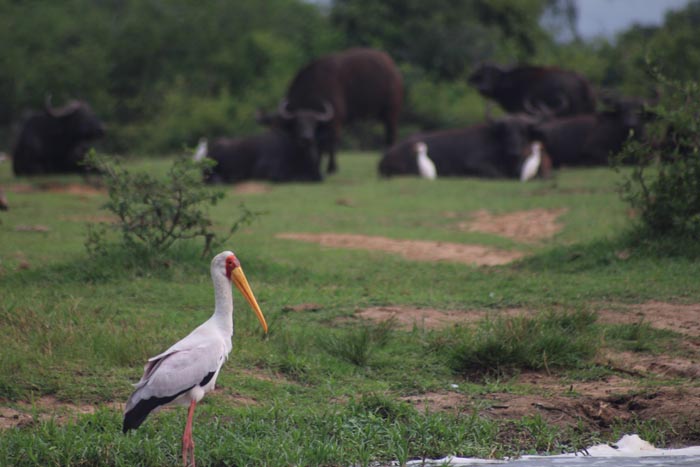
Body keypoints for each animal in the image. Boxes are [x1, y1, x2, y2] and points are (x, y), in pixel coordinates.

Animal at [272, 47, 404, 179]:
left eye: (312, 123)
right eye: (297, 123)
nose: (306, 138)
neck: (316, 87)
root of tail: (392, 68)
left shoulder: (335, 122)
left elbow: (332, 144)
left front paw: (331, 168)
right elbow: (321, 145)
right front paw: (317, 165)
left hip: (391, 113)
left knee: (391, 136)